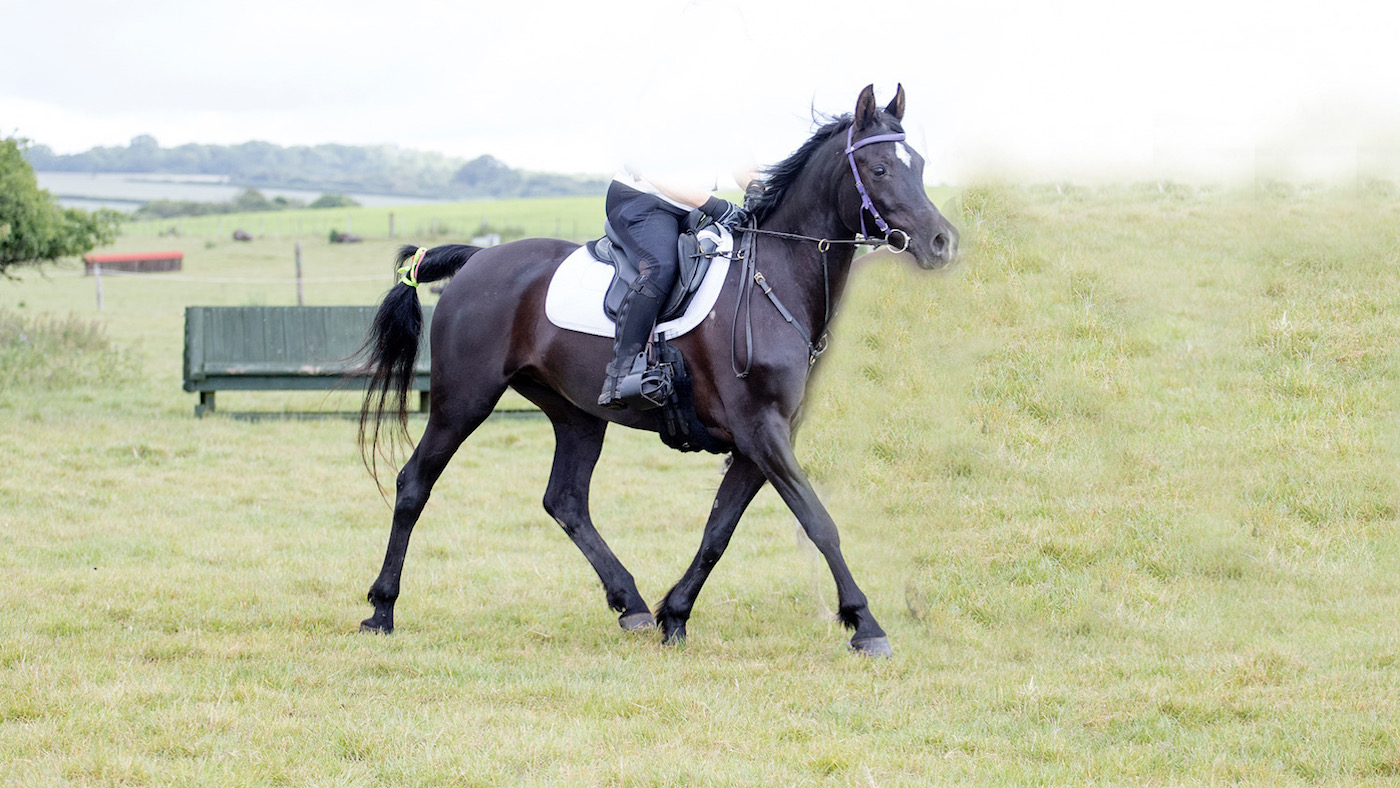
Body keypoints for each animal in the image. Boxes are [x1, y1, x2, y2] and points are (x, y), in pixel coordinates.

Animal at [356, 84, 959, 656]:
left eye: (920, 165)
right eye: (879, 170)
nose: (942, 243)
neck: (774, 280)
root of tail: (478, 259)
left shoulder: (760, 440)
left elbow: (718, 530)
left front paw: (676, 614)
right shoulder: (761, 430)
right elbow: (818, 522)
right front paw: (865, 623)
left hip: (576, 413)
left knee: (565, 501)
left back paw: (633, 605)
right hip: (464, 400)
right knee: (415, 483)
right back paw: (381, 610)